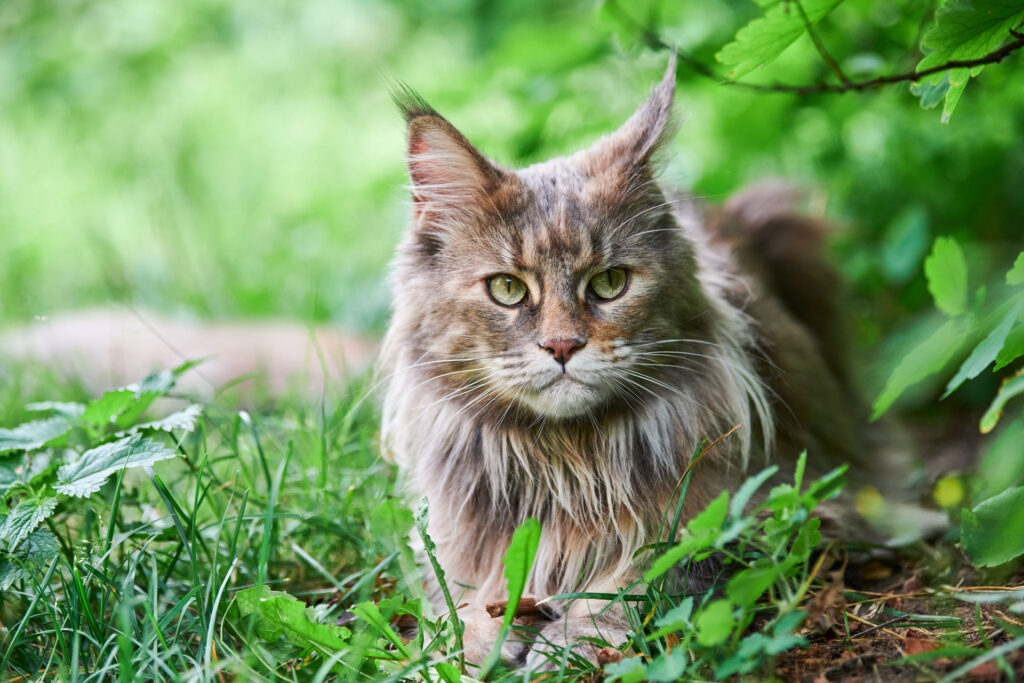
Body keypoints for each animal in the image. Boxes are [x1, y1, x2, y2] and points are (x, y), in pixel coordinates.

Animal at [380, 54, 892, 671]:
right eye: (507, 289)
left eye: (609, 283)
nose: (562, 347)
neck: (568, 465)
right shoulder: (460, 539)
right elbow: (461, 603)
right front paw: (459, 650)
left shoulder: (751, 507)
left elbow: (639, 579)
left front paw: (569, 645)